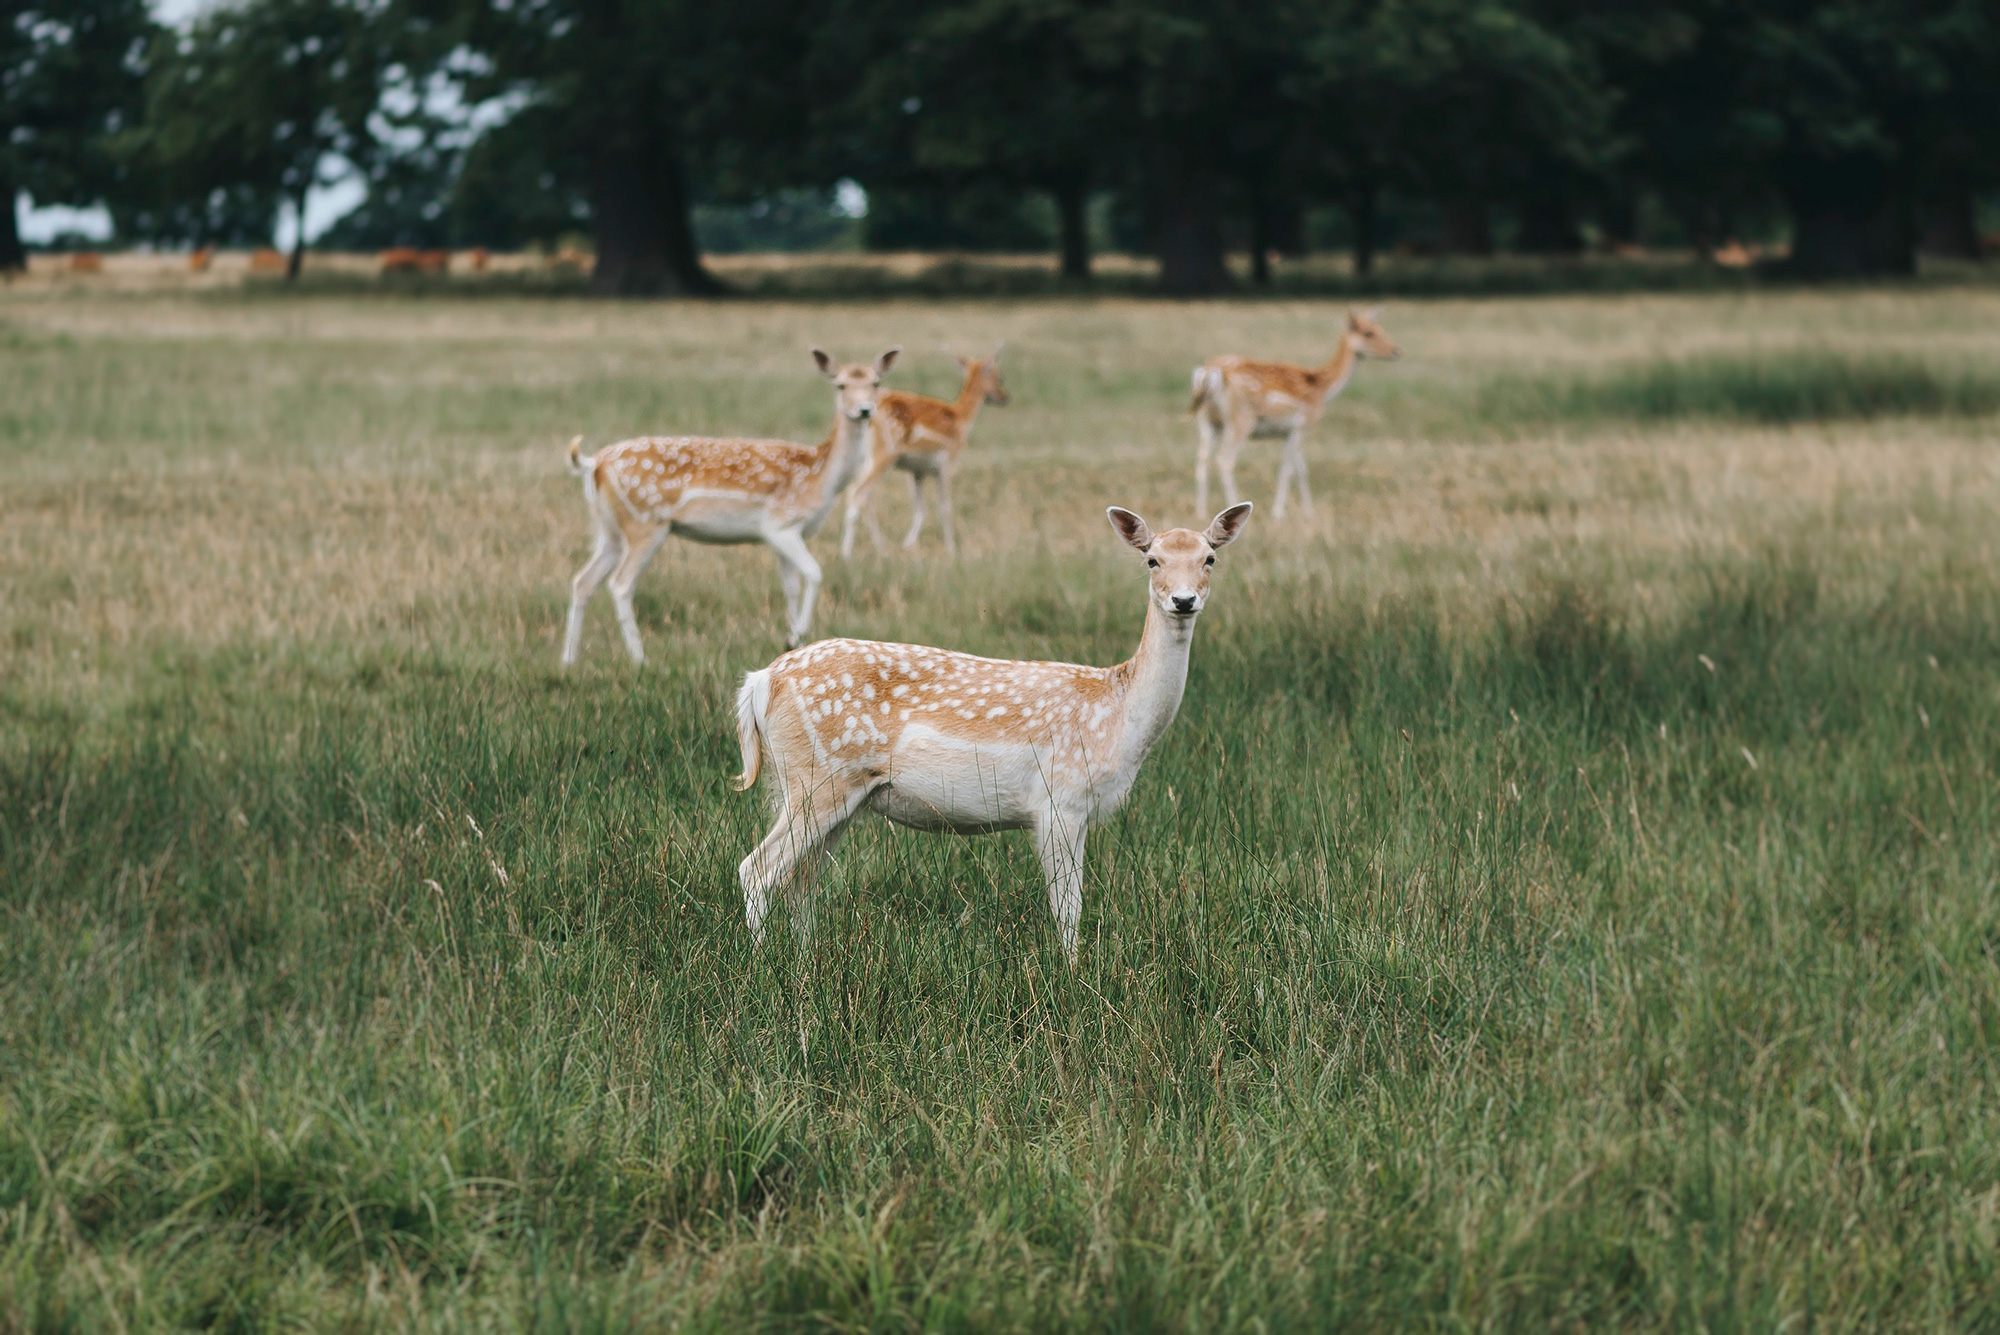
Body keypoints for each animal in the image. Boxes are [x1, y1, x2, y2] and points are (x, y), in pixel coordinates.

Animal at [556, 347, 900, 663]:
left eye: (876, 382)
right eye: (840, 385)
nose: (865, 410)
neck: (820, 476)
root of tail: (593, 463)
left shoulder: (785, 536)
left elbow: (790, 586)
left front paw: (793, 642)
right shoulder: (779, 525)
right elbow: (814, 573)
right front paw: (798, 634)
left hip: (610, 529)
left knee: (582, 582)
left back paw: (569, 661)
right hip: (645, 523)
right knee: (620, 584)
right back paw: (641, 660)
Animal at [728, 497, 1256, 959]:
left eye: (1210, 558)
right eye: (1152, 560)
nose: (1183, 600)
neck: (1118, 715)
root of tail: (760, 682)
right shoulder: (1059, 798)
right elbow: (1068, 908)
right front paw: (1073, 975)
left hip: (831, 791)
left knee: (801, 881)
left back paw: (805, 961)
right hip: (817, 778)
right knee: (757, 869)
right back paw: (765, 964)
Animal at [840, 343, 1008, 559]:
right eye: (999, 376)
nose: (1005, 397)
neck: (960, 421)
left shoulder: (916, 471)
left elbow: (920, 509)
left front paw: (907, 544)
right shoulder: (945, 464)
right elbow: (944, 507)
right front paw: (952, 550)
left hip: (865, 459)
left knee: (863, 496)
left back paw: (880, 549)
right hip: (884, 455)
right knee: (858, 493)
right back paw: (849, 553)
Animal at [1184, 309, 1408, 519]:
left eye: (1380, 328)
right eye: (1369, 332)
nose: (1396, 351)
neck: (1322, 390)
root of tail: (1208, 372)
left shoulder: (1289, 432)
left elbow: (1301, 469)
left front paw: (1309, 513)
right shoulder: (1303, 425)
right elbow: (1288, 468)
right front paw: (1278, 513)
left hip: (1207, 421)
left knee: (1202, 458)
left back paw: (1201, 512)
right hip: (1241, 420)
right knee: (1224, 460)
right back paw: (1234, 505)